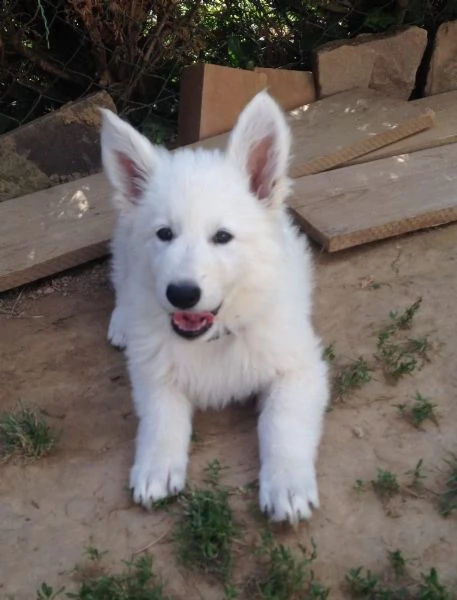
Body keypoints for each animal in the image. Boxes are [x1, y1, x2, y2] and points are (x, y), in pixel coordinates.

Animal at [100, 91, 328, 524]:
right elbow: (162, 419)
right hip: (121, 241)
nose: (182, 294)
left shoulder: (299, 369)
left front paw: (287, 484)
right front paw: (155, 467)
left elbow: (282, 422)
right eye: (164, 234)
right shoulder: (155, 373)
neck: (213, 338)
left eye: (223, 237)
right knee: (121, 279)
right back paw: (122, 321)